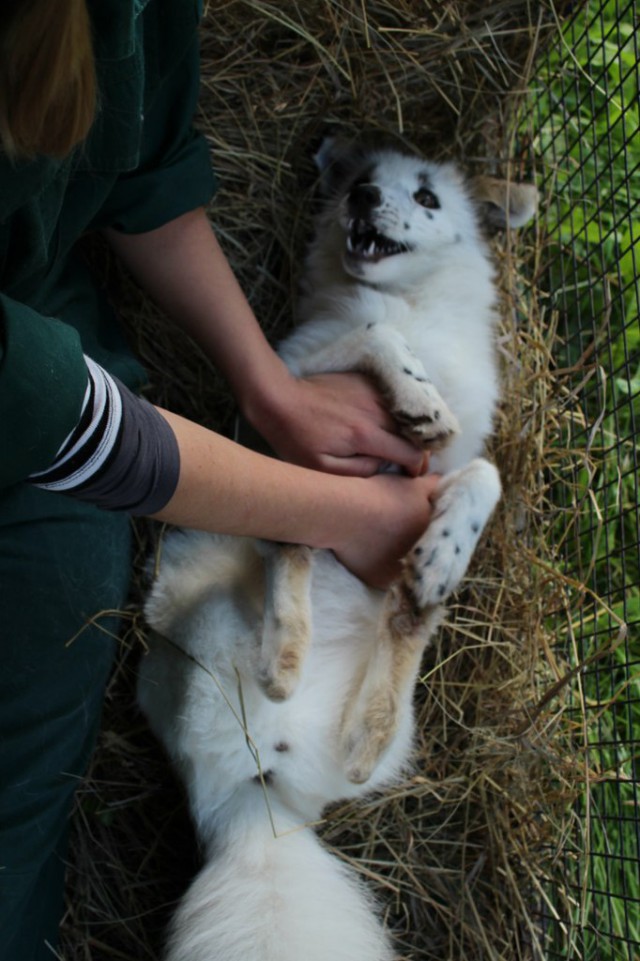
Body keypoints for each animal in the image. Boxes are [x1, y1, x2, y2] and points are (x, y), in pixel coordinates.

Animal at [138, 137, 536, 960]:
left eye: (426, 196)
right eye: (365, 181)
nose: (360, 199)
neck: (413, 305)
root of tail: (252, 805)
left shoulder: (448, 464)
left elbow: (485, 473)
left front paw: (444, 548)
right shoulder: (289, 387)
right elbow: (369, 337)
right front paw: (415, 393)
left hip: (382, 736)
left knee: (371, 709)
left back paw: (419, 596)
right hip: (199, 576)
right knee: (283, 575)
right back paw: (292, 640)